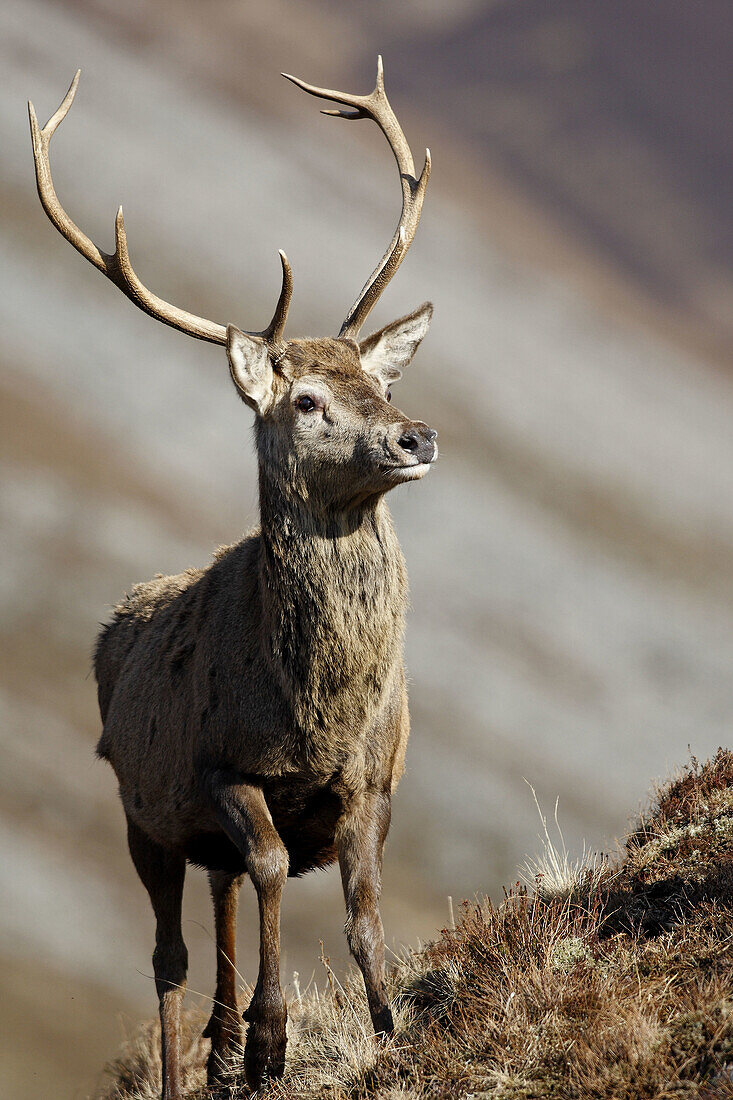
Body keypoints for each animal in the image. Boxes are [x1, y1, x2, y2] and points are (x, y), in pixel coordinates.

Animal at [29, 62, 433, 1100]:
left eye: (380, 384)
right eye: (307, 400)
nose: (415, 435)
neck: (316, 710)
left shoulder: (374, 782)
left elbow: (365, 914)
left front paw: (388, 1035)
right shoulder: (224, 768)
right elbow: (272, 872)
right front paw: (271, 1040)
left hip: (188, 831)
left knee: (218, 907)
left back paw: (219, 1046)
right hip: (143, 810)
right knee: (170, 953)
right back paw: (197, 1061)